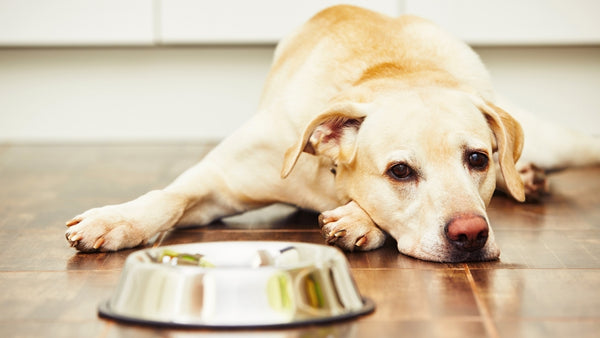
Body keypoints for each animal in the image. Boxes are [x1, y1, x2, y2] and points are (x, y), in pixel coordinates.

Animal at [65, 5, 600, 264]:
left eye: (478, 159)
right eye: (400, 171)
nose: (471, 234)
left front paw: (358, 219)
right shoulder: (218, 181)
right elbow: (169, 196)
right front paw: (116, 220)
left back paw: (526, 176)